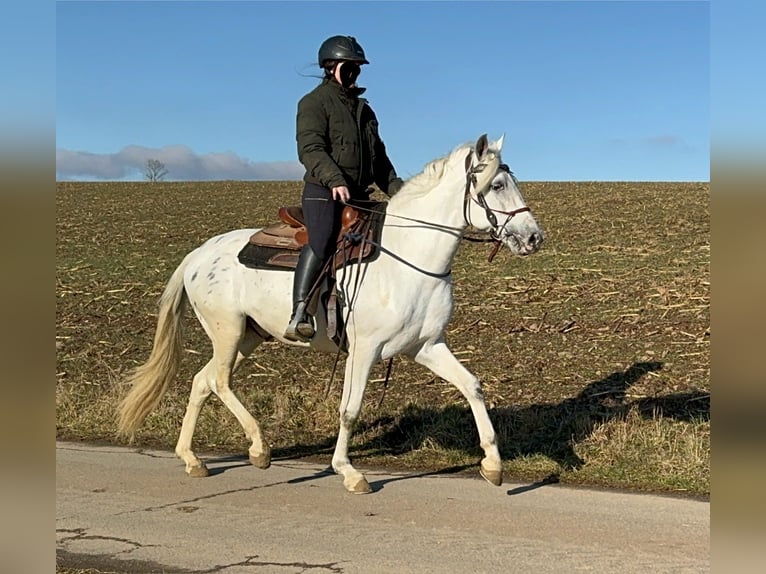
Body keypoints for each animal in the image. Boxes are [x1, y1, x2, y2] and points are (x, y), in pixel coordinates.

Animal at [117, 135, 544, 496]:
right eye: (497, 185)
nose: (534, 237)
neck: (407, 258)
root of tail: (199, 254)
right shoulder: (364, 350)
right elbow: (350, 410)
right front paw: (349, 472)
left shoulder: (425, 346)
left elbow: (472, 386)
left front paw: (493, 465)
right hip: (228, 331)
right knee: (220, 382)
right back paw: (259, 448)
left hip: (247, 336)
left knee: (201, 382)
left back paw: (192, 459)